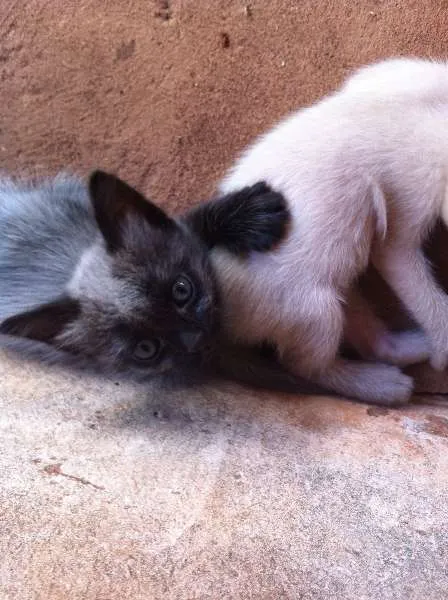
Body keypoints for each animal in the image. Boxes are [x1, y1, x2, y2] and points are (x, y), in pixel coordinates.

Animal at [211, 57, 448, 404]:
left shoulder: (396, 73)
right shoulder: (414, 192)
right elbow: (403, 261)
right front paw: (446, 343)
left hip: (338, 277)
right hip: (311, 307)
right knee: (305, 367)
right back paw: (381, 385)